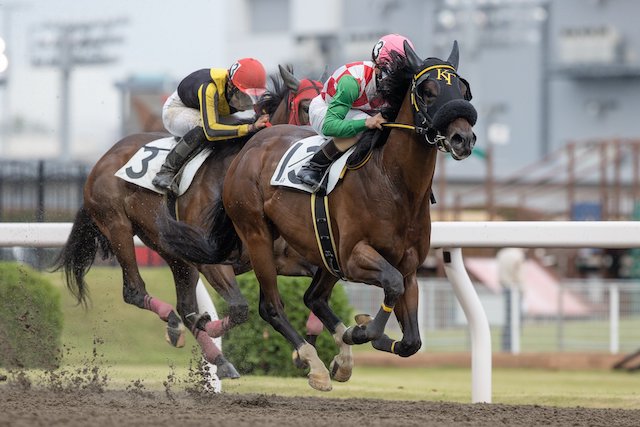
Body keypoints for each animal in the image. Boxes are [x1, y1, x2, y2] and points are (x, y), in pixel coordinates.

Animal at [52, 66, 322, 378]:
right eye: (306, 106)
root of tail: (101, 160)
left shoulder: (282, 257)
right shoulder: (213, 260)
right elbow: (239, 309)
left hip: (176, 255)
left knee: (184, 304)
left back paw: (217, 357)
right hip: (118, 228)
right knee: (137, 291)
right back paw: (176, 326)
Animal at [159, 42, 478, 392]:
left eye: (463, 89)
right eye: (428, 91)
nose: (463, 138)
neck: (393, 184)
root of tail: (249, 148)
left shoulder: (408, 267)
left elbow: (411, 341)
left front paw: (362, 333)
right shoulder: (354, 257)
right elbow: (390, 285)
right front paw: (361, 331)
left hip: (323, 251)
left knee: (313, 298)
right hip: (257, 235)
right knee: (271, 306)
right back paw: (313, 364)